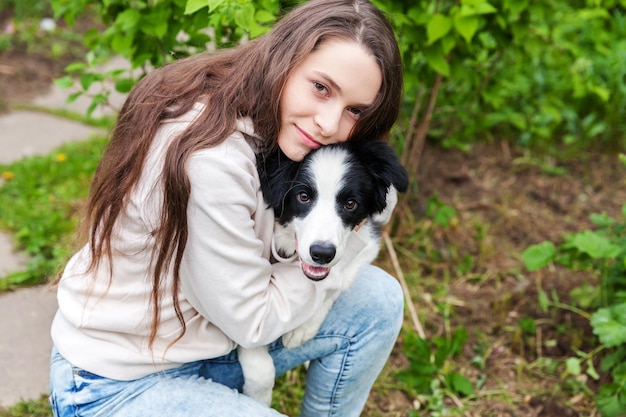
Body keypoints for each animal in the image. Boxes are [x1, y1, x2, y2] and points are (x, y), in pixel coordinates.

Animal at [236, 139, 408, 404]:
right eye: (303, 196)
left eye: (350, 203)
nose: (322, 254)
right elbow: (256, 349)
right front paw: (259, 398)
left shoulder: (367, 244)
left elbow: (338, 282)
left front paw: (304, 327)